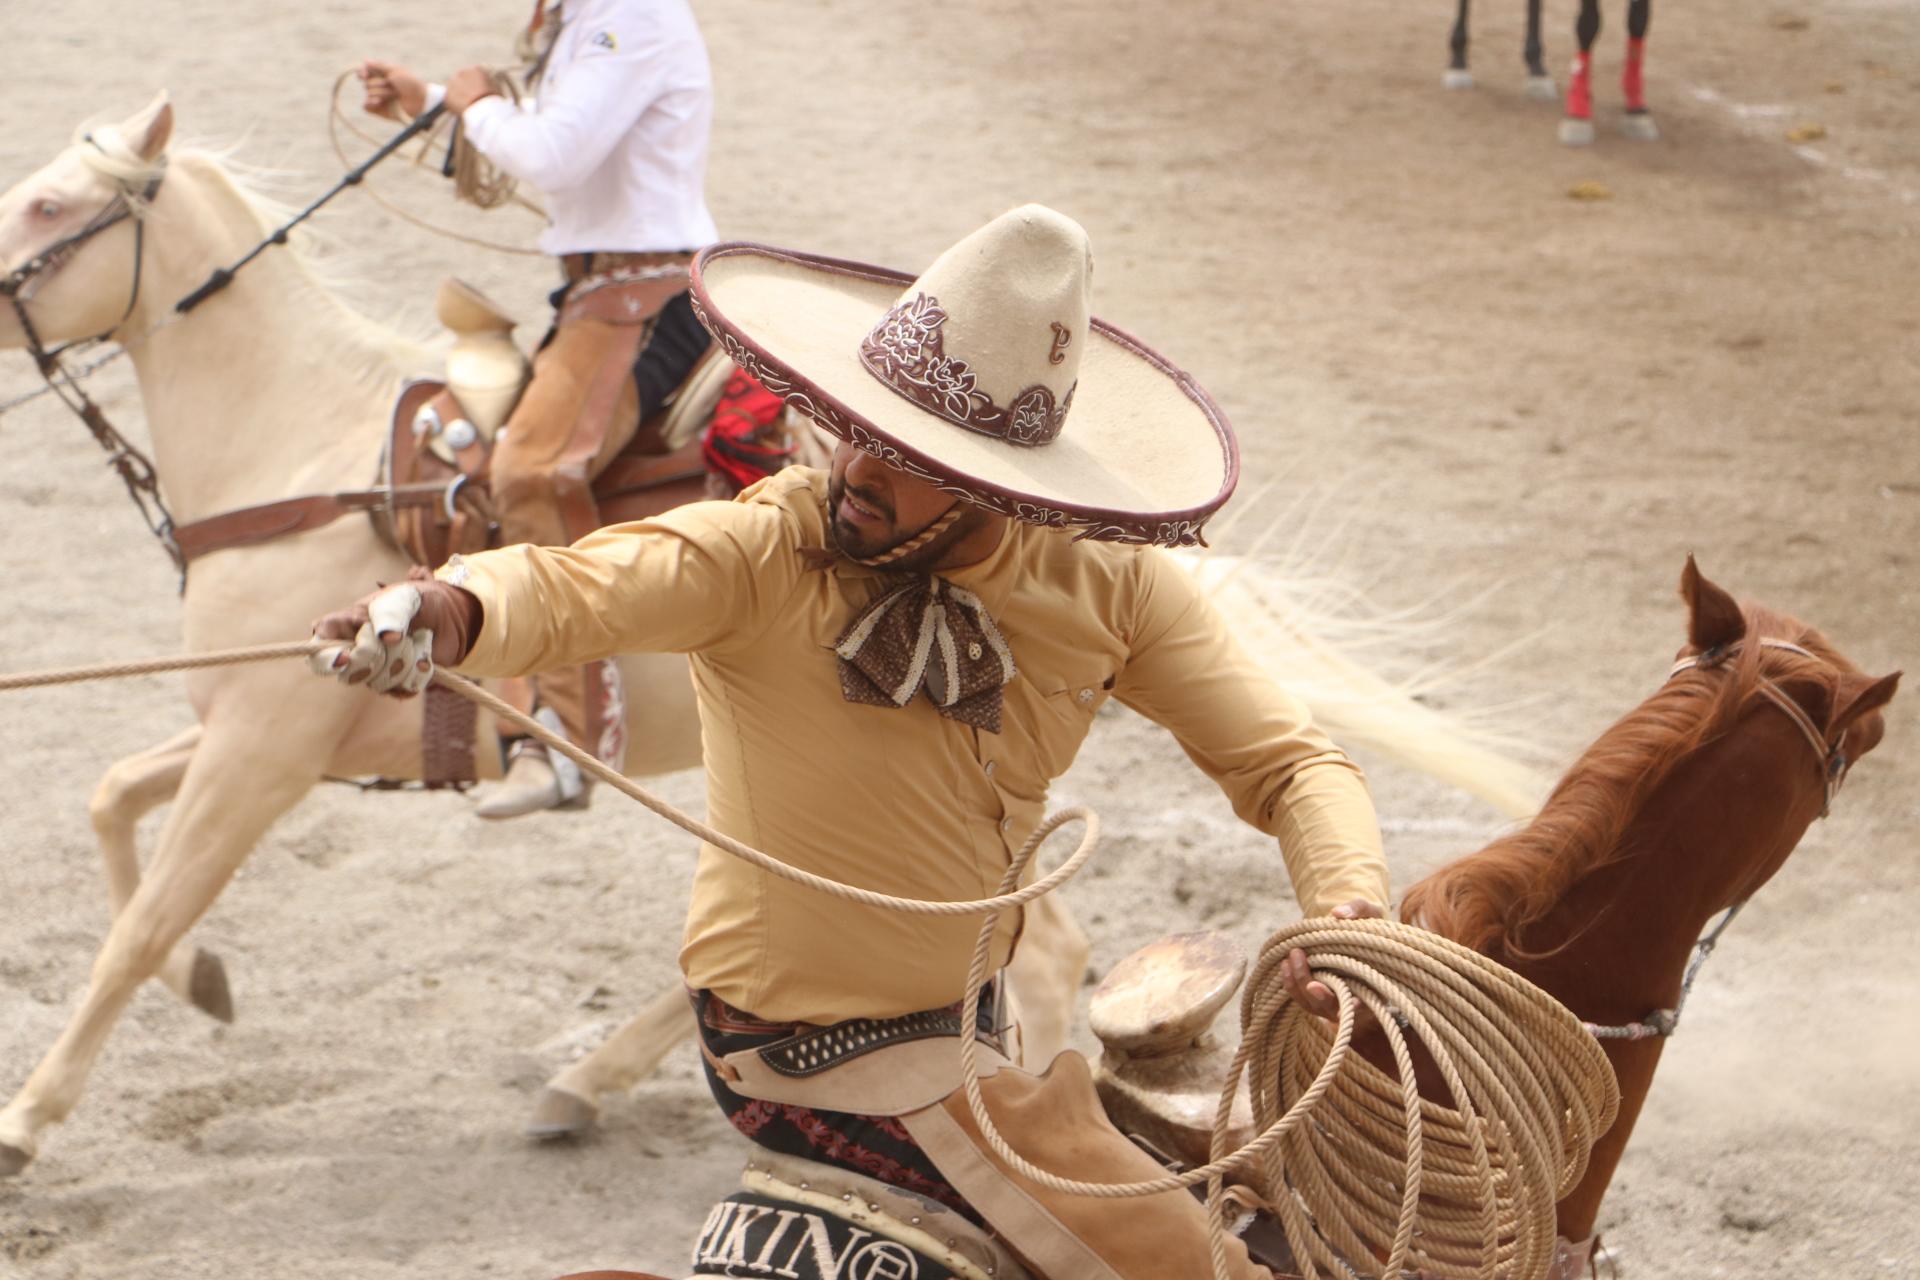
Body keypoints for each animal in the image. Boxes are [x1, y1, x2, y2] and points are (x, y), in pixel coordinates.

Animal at [1443, 0, 1658, 145]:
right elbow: (1589, 23)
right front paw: (1578, 113)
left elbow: (1638, 19)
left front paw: (1636, 109)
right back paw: (1458, 62)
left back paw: (1537, 70)